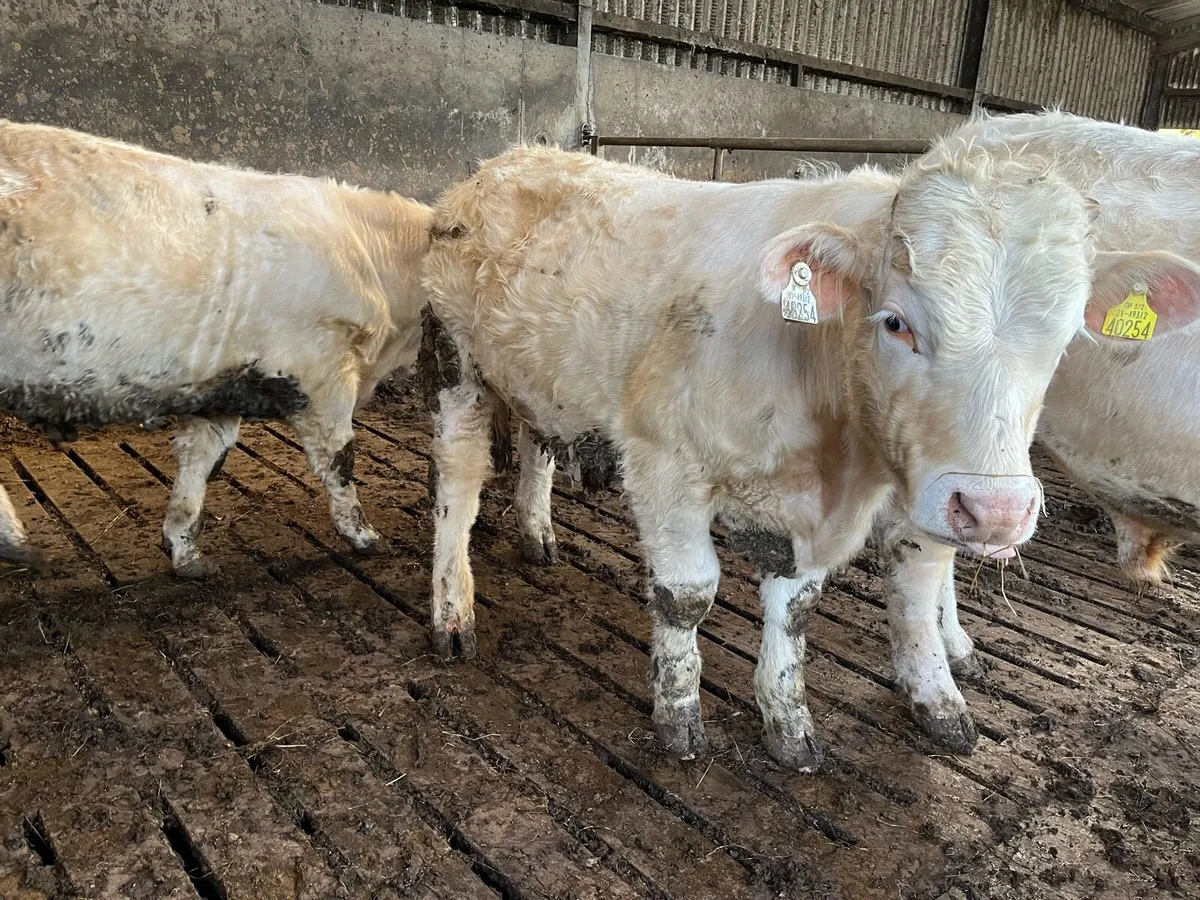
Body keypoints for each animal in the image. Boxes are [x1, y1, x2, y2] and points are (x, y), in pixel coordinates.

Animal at [0, 120, 433, 578]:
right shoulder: (321, 374)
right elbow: (339, 457)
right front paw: (364, 536)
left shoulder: (218, 387)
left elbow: (201, 460)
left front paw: (186, 552)